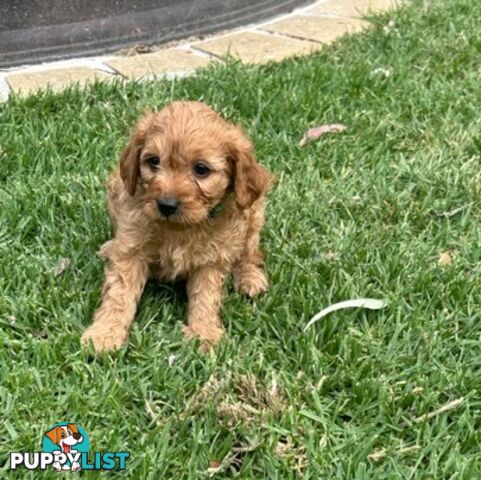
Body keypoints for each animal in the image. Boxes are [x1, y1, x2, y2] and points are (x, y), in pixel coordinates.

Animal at [82, 101, 270, 352]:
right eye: (153, 161)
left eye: (201, 169)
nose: (166, 205)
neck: (180, 230)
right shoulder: (131, 248)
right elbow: (119, 294)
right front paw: (105, 333)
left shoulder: (212, 258)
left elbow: (206, 296)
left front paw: (204, 332)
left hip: (253, 213)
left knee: (249, 254)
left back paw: (250, 278)